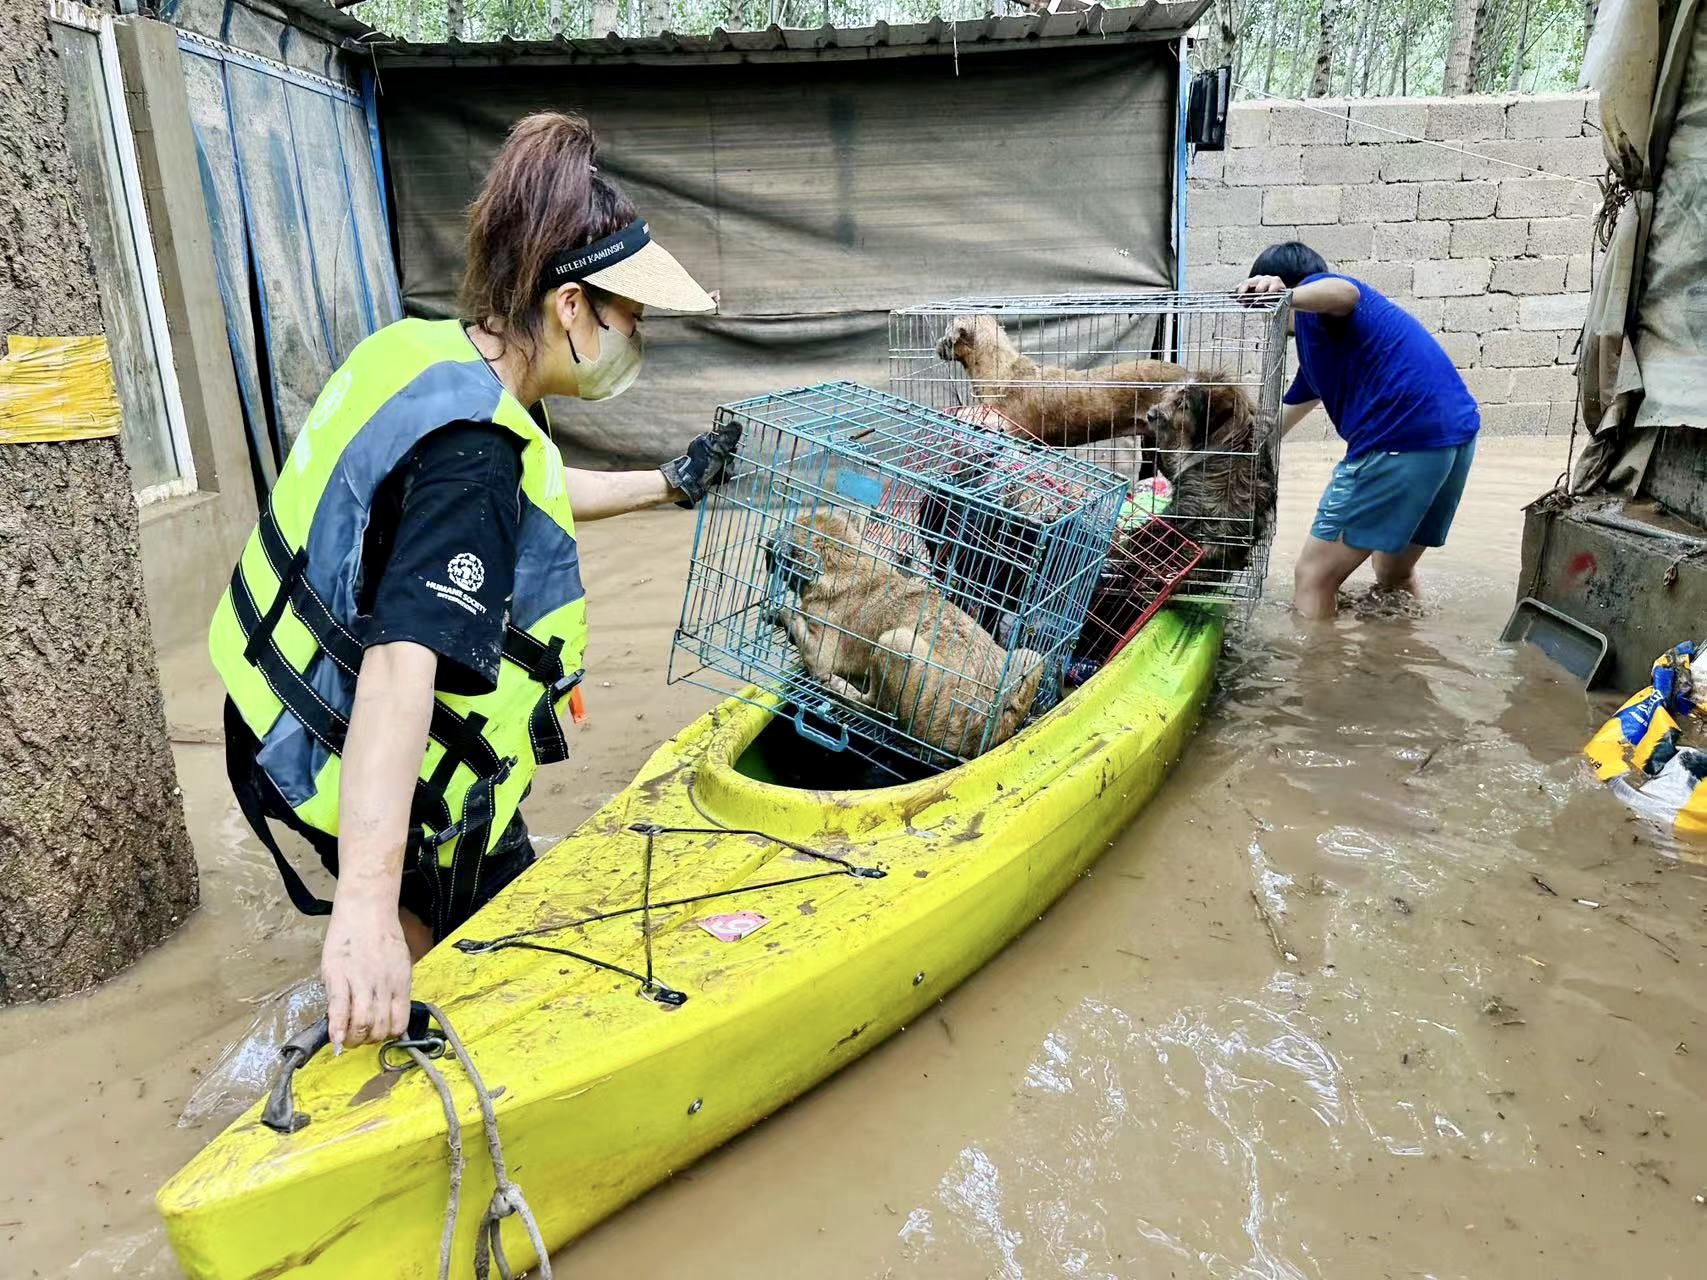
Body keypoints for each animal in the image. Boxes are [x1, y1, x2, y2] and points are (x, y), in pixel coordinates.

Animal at [768, 512, 1044, 761]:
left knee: (877, 709)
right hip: (1031, 657)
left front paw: (780, 610)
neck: (846, 562)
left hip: (895, 642)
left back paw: (842, 689)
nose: (769, 539)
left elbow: (795, 618)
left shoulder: (821, 653)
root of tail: (985, 731)